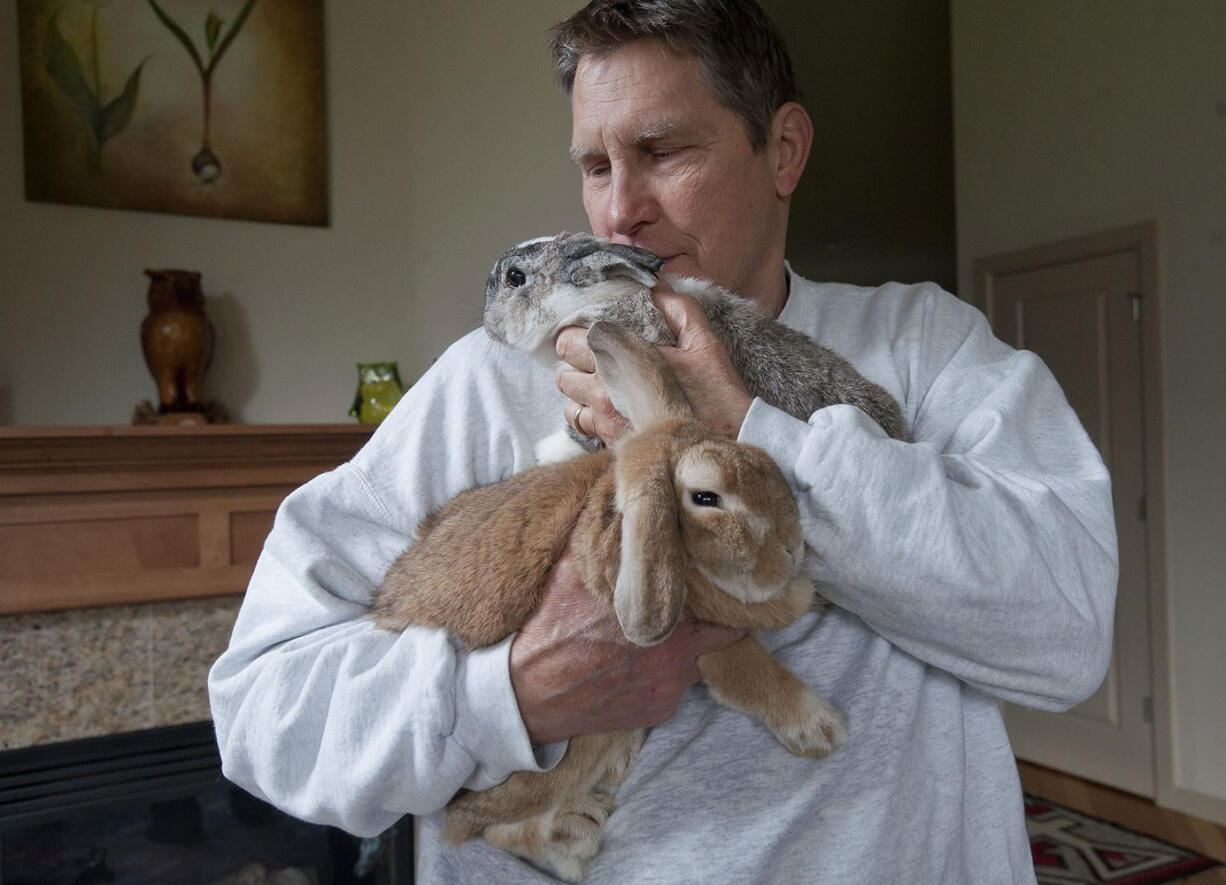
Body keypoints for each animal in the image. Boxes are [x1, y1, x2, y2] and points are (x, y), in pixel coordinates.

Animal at [367, 318, 848, 877]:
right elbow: (750, 669)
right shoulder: (704, 645)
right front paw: (820, 730)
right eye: (706, 498)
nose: (793, 548)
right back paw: (572, 835)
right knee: (484, 826)